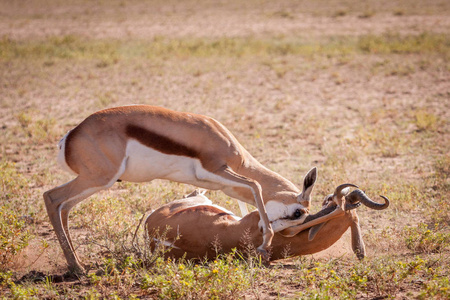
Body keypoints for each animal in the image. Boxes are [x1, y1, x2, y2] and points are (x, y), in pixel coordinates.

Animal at [44, 104, 320, 274]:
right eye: (297, 212)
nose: (274, 235)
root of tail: (70, 137)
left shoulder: (222, 185)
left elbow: (248, 195)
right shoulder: (217, 170)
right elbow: (256, 186)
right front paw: (265, 243)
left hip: (95, 181)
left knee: (64, 207)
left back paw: (76, 265)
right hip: (99, 179)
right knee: (51, 197)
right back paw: (77, 269)